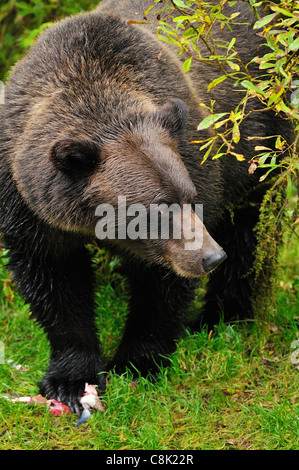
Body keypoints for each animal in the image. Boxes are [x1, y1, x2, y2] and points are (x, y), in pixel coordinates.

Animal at [0, 0, 292, 412]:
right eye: (155, 208)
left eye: (189, 198)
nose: (209, 256)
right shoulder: (29, 206)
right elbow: (54, 282)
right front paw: (70, 380)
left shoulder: (195, 159)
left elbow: (161, 287)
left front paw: (137, 363)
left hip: (258, 139)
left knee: (248, 228)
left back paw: (221, 316)